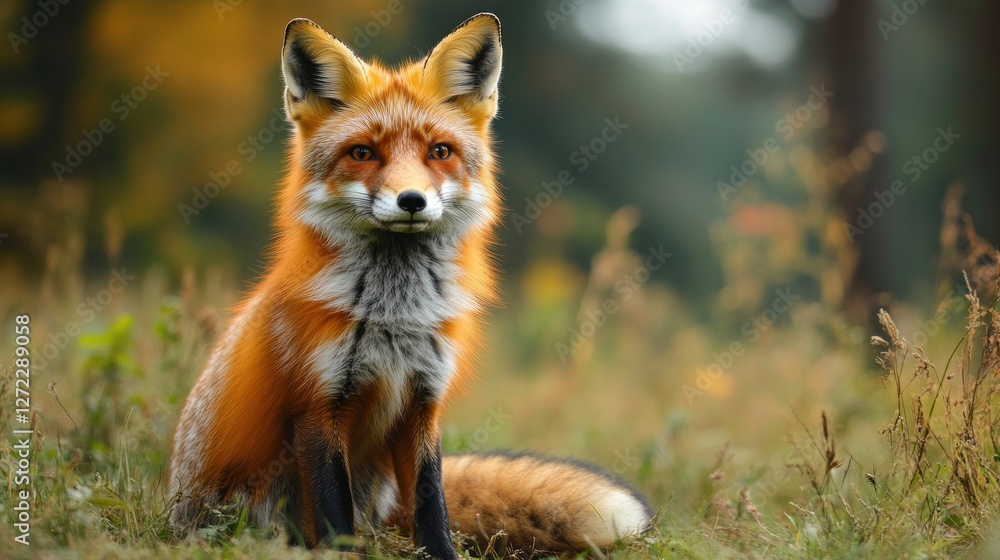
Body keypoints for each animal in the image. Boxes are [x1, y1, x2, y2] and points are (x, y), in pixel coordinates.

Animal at [168, 13, 653, 558]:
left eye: (439, 152)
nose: (412, 200)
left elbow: (432, 507)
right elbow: (335, 516)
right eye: (363, 153)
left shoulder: (424, 403)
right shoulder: (318, 406)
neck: (396, 315)